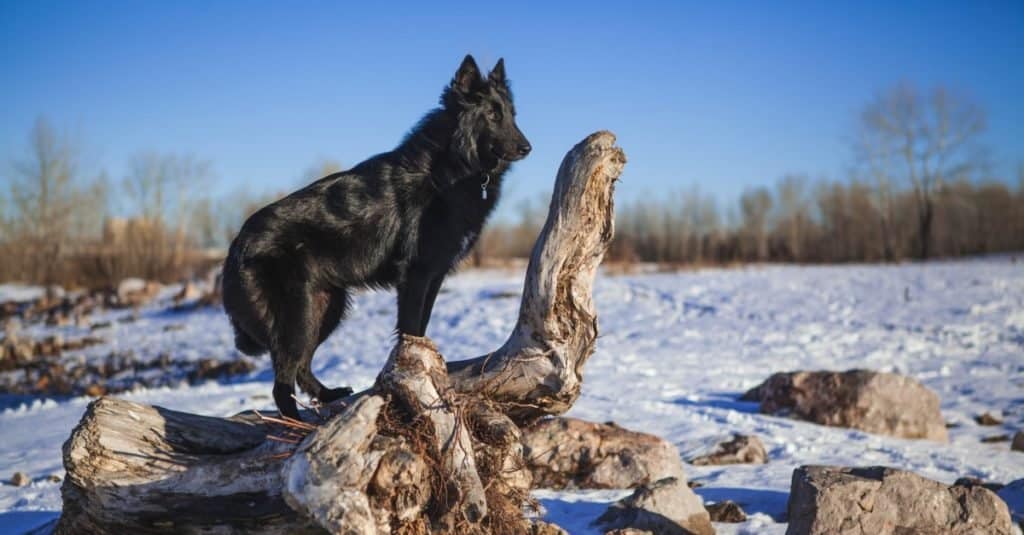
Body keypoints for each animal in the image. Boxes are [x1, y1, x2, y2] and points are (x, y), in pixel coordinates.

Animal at [222, 56, 528, 418]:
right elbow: (411, 327)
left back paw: (327, 395)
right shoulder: (416, 273)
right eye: (493, 115)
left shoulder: (435, 273)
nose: (527, 147)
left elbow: (421, 327)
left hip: (325, 308)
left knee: (300, 366)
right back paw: (294, 422)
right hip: (299, 314)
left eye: (512, 114)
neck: (452, 167)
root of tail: (236, 245)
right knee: (282, 379)